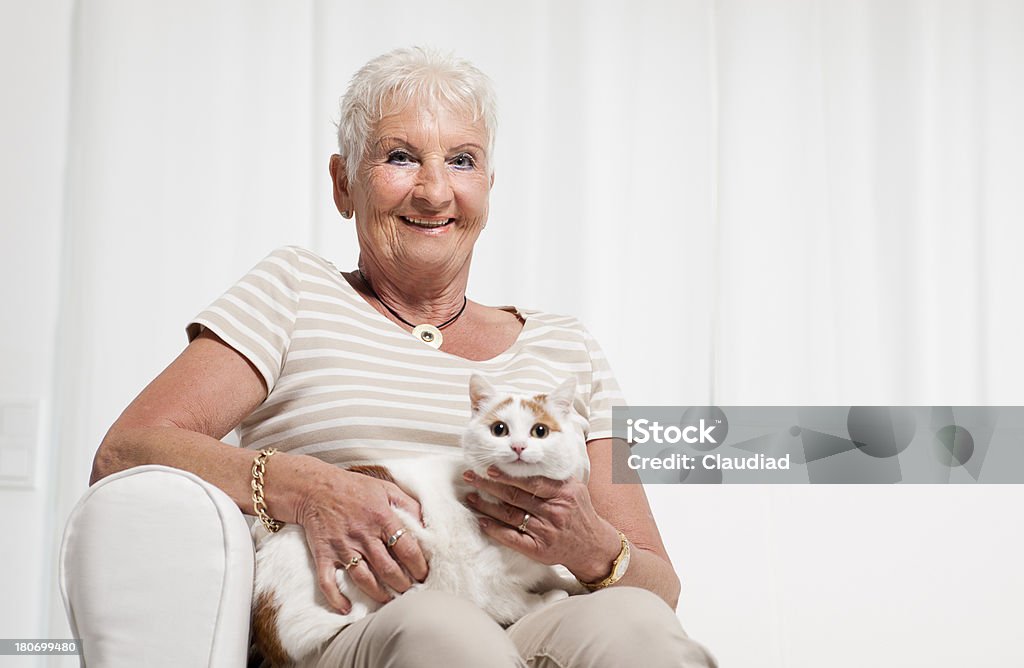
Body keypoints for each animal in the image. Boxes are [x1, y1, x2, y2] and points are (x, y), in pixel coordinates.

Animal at [249, 372, 585, 663]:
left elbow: (550, 573)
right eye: (499, 429)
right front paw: (550, 598)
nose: (518, 446)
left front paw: (575, 585)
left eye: (540, 431)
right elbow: (515, 602)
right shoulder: (482, 582)